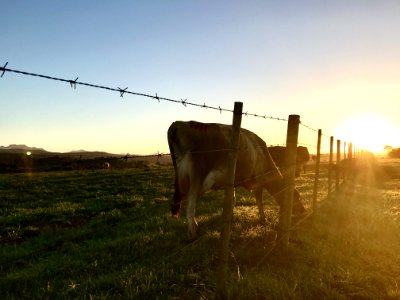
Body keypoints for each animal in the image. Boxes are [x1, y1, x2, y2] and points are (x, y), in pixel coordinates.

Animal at [167, 120, 304, 240]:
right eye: (297, 197)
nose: (303, 211)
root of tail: (178, 123)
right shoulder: (258, 179)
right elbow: (259, 200)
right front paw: (263, 219)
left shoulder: (231, 183)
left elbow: (232, 200)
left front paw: (228, 220)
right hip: (197, 175)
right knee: (190, 204)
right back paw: (193, 232)